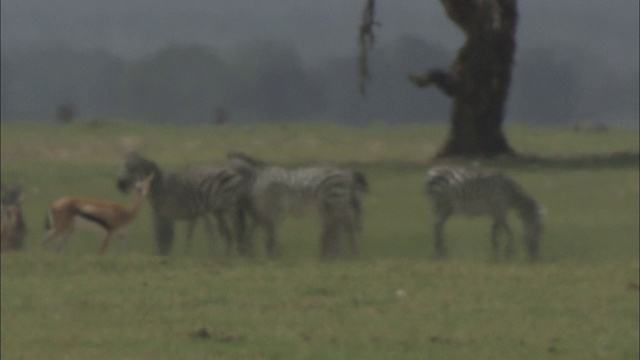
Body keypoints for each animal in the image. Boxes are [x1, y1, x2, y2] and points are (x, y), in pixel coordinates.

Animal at [115, 152, 245, 256]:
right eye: (123, 166)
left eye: (130, 168)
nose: (120, 185)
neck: (161, 187)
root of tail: (233, 173)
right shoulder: (159, 215)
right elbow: (160, 238)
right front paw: (162, 256)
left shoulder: (169, 215)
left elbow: (167, 237)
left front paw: (166, 257)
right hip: (219, 211)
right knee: (228, 234)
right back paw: (225, 257)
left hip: (231, 207)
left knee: (237, 231)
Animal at [226, 153, 368, 260]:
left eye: (226, 176)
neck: (257, 179)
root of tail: (345, 173)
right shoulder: (267, 211)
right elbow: (267, 232)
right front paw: (271, 254)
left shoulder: (272, 208)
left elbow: (271, 233)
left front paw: (272, 256)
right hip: (331, 204)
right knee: (340, 226)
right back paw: (336, 255)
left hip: (335, 201)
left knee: (344, 226)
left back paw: (343, 254)